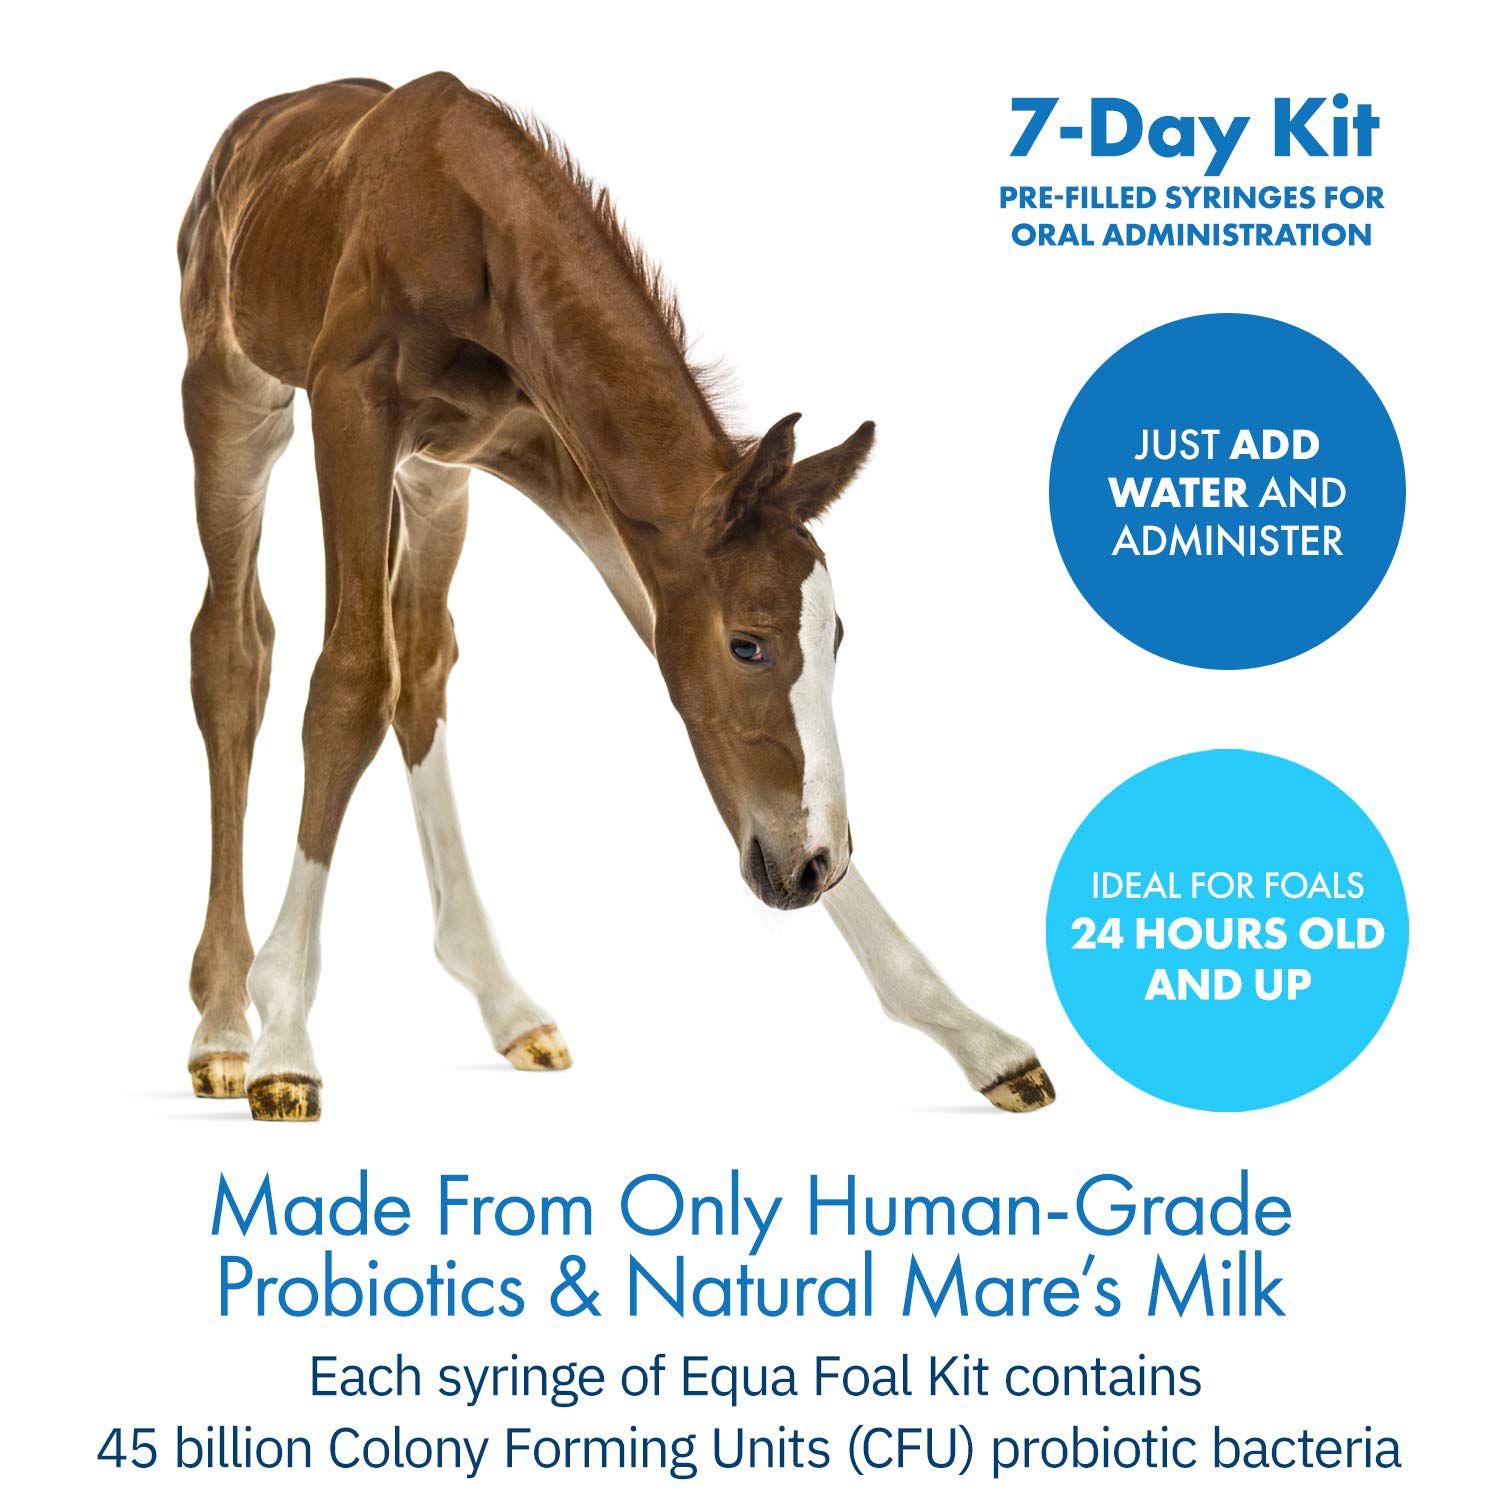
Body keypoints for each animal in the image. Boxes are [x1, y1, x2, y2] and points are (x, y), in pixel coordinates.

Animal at [178, 72, 1055, 1121]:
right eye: (749, 643)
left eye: (838, 638)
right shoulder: (350, 408)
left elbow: (657, 670)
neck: (472, 221)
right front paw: (287, 1035)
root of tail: (256, 124)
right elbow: (345, 682)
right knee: (235, 653)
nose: (810, 867)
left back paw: (504, 1000)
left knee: (421, 663)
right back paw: (223, 1024)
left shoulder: (568, 466)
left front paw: (976, 1036)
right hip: (238, 401)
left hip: (436, 477)